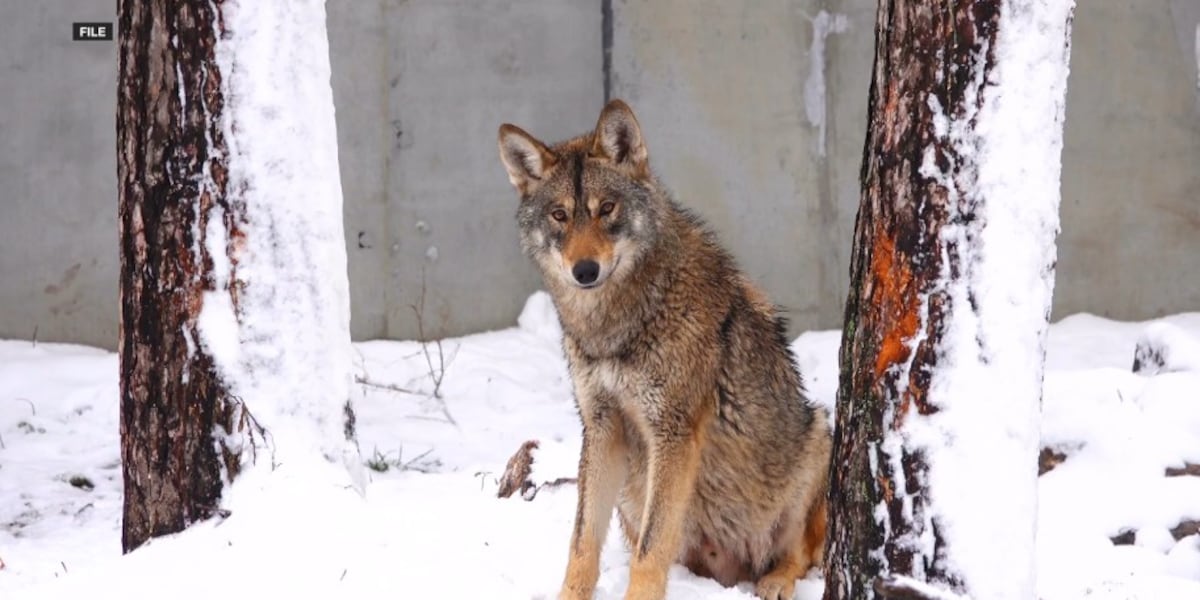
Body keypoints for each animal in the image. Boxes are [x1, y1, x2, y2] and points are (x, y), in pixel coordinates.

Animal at [497, 100, 832, 600]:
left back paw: (774, 581)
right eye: (559, 215)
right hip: (633, 494)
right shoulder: (602, 427)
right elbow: (582, 541)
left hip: (816, 437)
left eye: (607, 209)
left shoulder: (672, 433)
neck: (616, 326)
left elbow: (650, 552)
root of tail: (729, 571)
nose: (585, 270)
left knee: (801, 555)